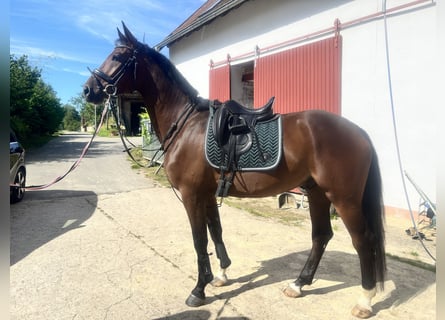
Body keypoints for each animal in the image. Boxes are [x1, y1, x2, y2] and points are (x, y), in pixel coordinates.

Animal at [83, 23, 386, 318]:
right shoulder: (206, 194)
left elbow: (199, 240)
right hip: (317, 193)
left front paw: (199, 290)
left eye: (118, 56)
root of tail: (359, 132)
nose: (88, 90)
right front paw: (221, 274)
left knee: (363, 240)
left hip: (343, 198)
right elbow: (216, 232)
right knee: (321, 236)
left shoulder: (191, 195)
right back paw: (298, 284)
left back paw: (365, 300)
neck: (187, 125)